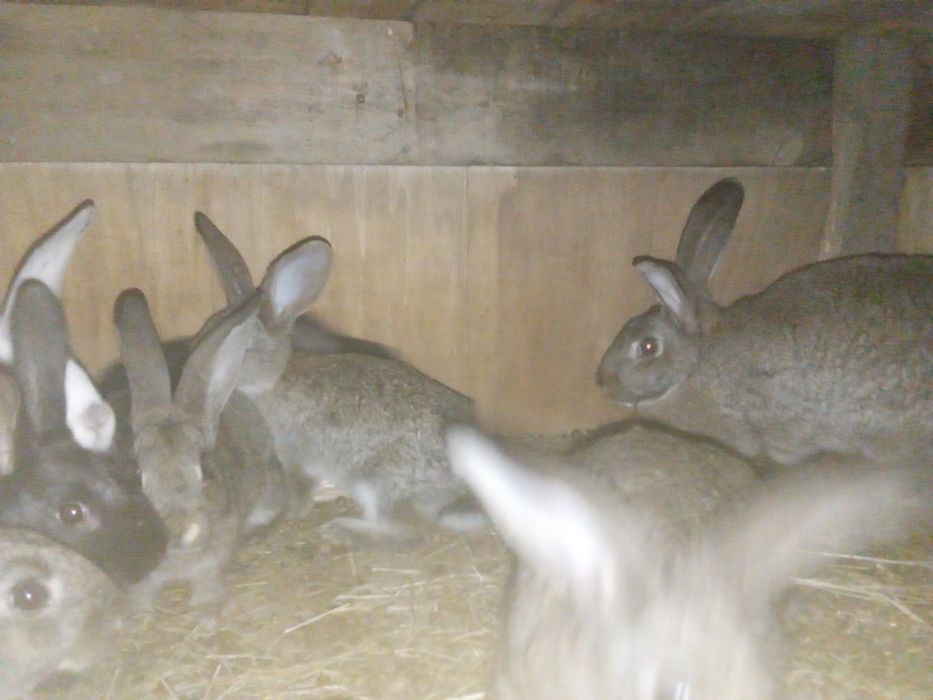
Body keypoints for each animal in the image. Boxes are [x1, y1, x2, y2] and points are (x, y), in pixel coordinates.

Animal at [113, 287, 288, 608]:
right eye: (136, 472)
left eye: (204, 471)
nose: (176, 529)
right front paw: (138, 610)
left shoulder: (217, 550)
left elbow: (207, 579)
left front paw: (205, 609)